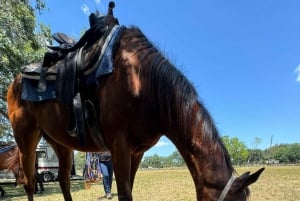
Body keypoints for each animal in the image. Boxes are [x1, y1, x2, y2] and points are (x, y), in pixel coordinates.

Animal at [5, 4, 264, 201]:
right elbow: (124, 195)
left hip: (60, 143)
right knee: (29, 182)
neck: (143, 82)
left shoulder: (136, 151)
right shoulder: (119, 145)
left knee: (63, 182)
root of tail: (16, 81)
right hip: (26, 139)